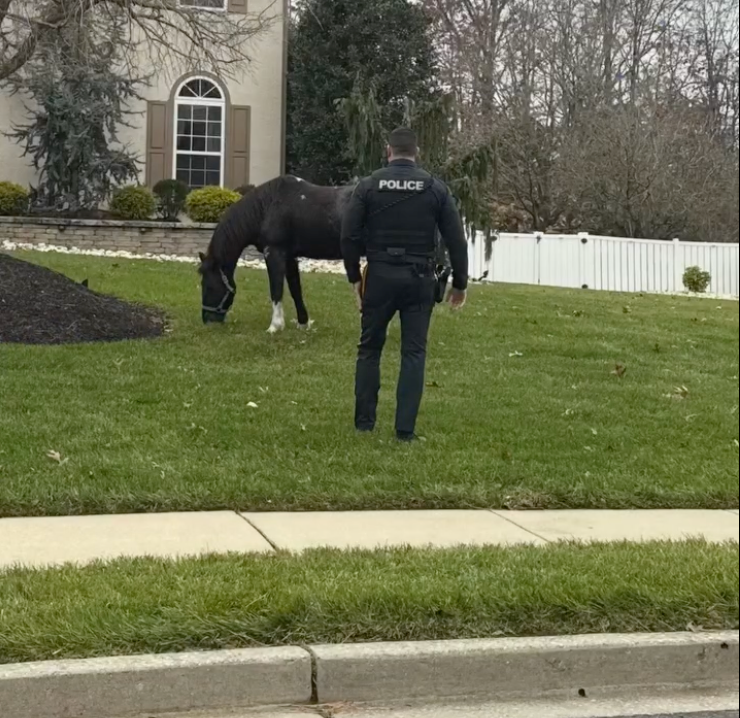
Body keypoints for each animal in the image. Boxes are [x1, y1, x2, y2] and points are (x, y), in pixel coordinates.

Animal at [198, 175, 356, 332]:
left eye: (208, 285)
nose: (206, 320)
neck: (267, 206)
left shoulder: (273, 252)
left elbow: (276, 289)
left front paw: (275, 326)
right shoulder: (290, 257)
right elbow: (295, 289)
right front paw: (303, 323)